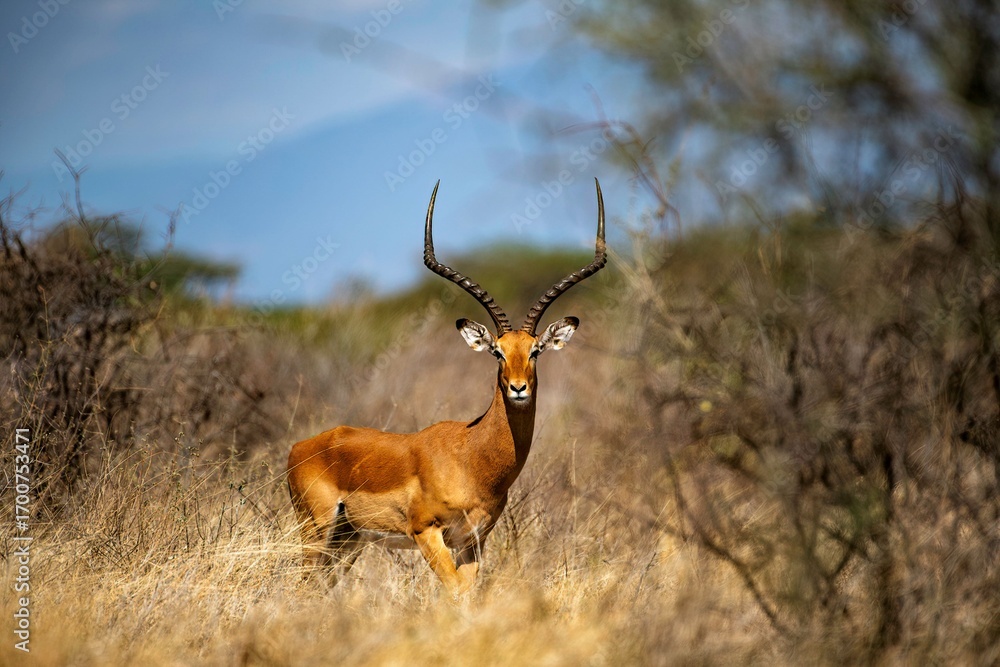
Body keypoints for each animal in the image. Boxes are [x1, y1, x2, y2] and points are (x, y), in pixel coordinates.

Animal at [287, 179, 607, 595]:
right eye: (497, 352)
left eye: (535, 351)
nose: (518, 388)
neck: (471, 455)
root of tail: (300, 448)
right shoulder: (426, 532)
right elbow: (454, 593)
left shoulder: (473, 540)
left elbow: (467, 594)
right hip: (317, 531)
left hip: (348, 541)